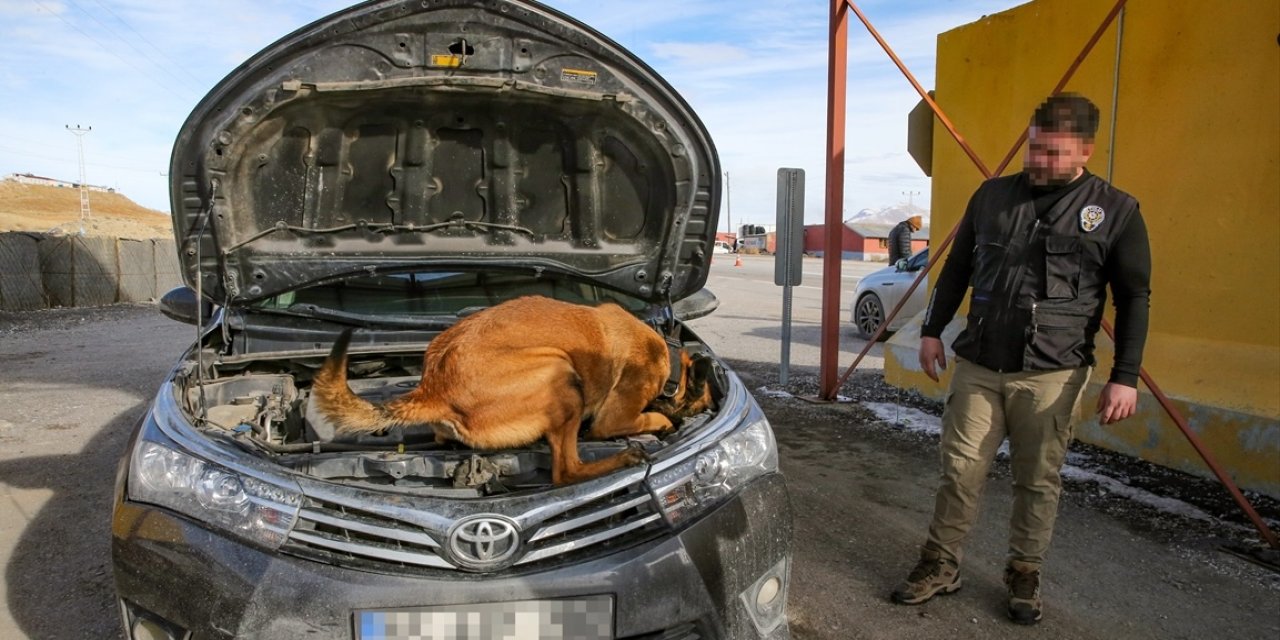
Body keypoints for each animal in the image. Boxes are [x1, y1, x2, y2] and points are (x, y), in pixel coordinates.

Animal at [305, 294, 716, 483]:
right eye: (700, 406)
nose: (707, 413)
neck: (671, 361)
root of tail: (434, 388)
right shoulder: (614, 418)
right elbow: (646, 418)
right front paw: (664, 422)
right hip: (561, 372)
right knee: (566, 472)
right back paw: (625, 457)